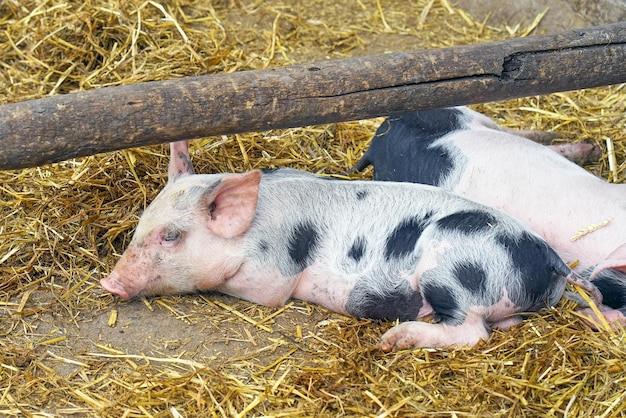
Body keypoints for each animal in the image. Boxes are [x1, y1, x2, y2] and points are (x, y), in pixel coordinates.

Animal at [101, 140, 600, 350]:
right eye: (142, 222)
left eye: (171, 235)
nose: (109, 283)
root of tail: (553, 259)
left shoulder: (272, 276)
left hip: (453, 272)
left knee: (472, 333)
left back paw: (392, 340)